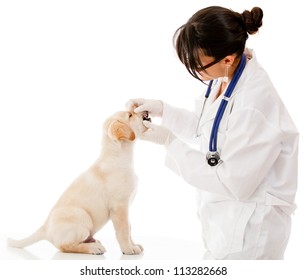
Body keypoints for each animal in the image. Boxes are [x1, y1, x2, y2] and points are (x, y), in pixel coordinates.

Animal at [7, 110, 151, 255]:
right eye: (130, 115)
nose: (145, 112)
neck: (118, 156)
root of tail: (45, 229)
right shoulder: (119, 207)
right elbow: (124, 230)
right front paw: (128, 249)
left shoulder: (126, 207)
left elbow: (130, 228)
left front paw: (134, 245)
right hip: (83, 217)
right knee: (65, 246)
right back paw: (93, 248)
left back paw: (93, 241)